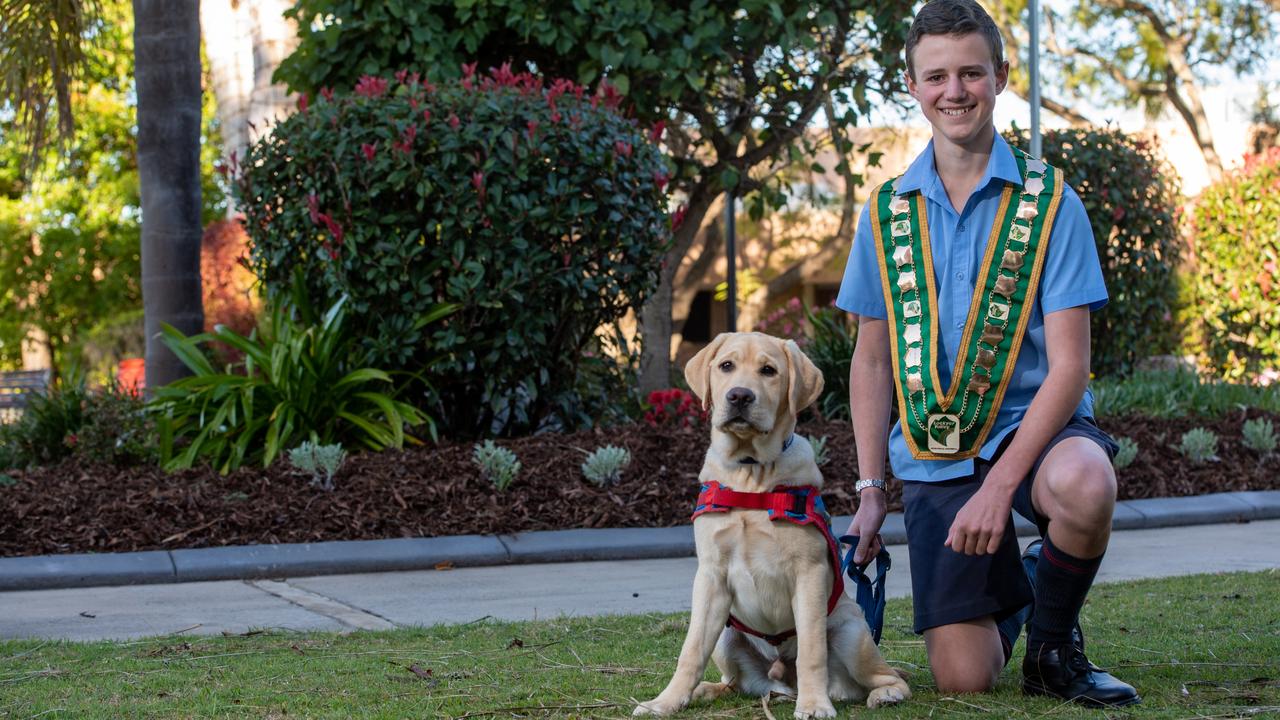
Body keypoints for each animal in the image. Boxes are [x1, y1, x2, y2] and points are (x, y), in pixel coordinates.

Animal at [634, 333, 906, 717]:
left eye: (768, 370)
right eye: (726, 366)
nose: (739, 396)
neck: (751, 475)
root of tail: (781, 677)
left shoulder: (809, 574)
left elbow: (811, 650)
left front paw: (814, 705)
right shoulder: (711, 577)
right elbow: (691, 651)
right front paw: (665, 702)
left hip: (852, 632)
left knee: (887, 675)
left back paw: (884, 694)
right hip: (726, 635)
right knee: (734, 682)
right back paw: (706, 690)